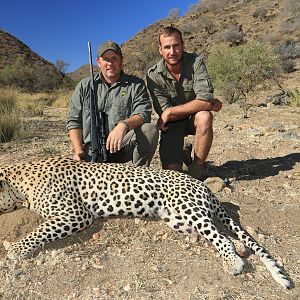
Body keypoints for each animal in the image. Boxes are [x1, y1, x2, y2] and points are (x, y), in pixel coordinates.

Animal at [0, 156, 290, 288]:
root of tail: (204, 186)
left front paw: (15, 250)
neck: (20, 183)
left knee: (222, 237)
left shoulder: (76, 213)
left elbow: (41, 230)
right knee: (220, 235)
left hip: (188, 208)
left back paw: (233, 263)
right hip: (178, 218)